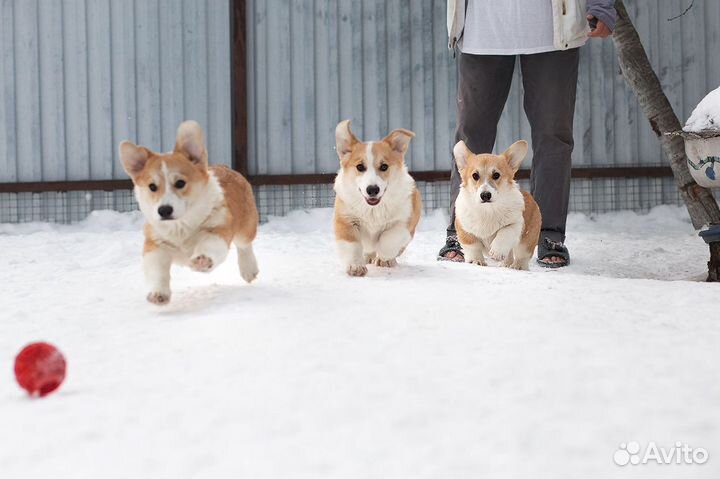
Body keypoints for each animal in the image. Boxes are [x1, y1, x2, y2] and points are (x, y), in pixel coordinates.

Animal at [120, 120, 258, 304]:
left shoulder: (218, 228)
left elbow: (209, 244)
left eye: (180, 183)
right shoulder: (155, 245)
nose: (164, 210)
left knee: (244, 245)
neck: (180, 226)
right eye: (152, 187)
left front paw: (202, 260)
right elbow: (157, 272)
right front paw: (158, 294)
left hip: (246, 226)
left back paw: (249, 269)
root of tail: (226, 167)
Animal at [332, 120, 422, 278]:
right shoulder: (346, 220)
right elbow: (352, 246)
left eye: (384, 166)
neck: (373, 209)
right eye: (360, 167)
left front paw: (384, 257)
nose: (372, 190)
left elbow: (389, 239)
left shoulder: (404, 223)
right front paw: (355, 266)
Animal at [456, 141, 540, 272]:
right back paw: (505, 264)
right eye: (475, 176)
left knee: (522, 255)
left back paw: (518, 266)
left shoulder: (516, 223)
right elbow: (473, 245)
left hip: (527, 241)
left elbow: (505, 232)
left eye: (496, 175)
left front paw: (497, 251)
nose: (485, 195)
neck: (488, 210)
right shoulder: (463, 227)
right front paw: (476, 261)